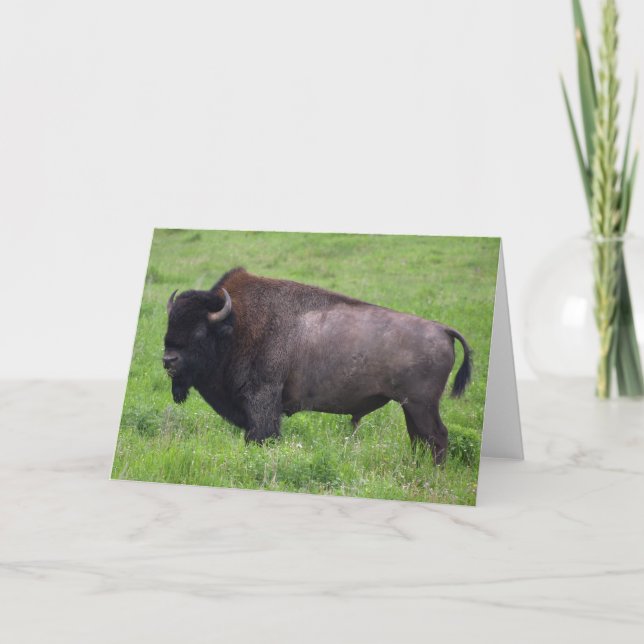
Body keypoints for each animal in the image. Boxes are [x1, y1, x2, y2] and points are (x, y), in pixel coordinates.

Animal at [163, 268, 471, 464]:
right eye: (170, 323)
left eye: (199, 331)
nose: (168, 360)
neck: (236, 324)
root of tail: (443, 330)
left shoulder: (262, 400)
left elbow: (262, 436)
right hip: (410, 406)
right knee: (419, 438)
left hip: (422, 405)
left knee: (436, 437)